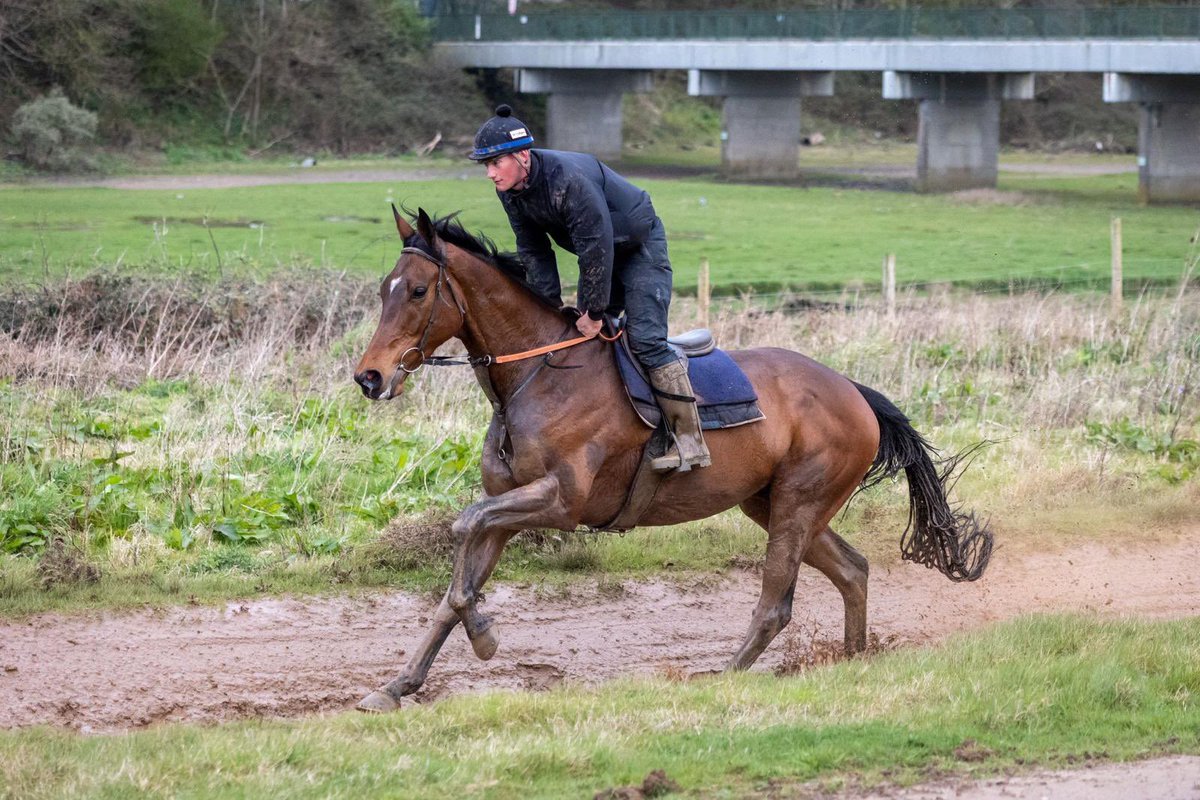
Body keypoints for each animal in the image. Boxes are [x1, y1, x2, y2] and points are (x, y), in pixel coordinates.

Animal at [350, 206, 988, 714]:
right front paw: (397, 684)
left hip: (798, 503)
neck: (536, 377)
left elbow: (463, 533)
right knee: (852, 569)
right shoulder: (508, 505)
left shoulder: (560, 502)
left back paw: (724, 677)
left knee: (775, 601)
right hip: (772, 504)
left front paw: (483, 635)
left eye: (417, 292)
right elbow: (454, 586)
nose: (369, 377)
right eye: (384, 287)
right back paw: (854, 662)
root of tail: (853, 390)